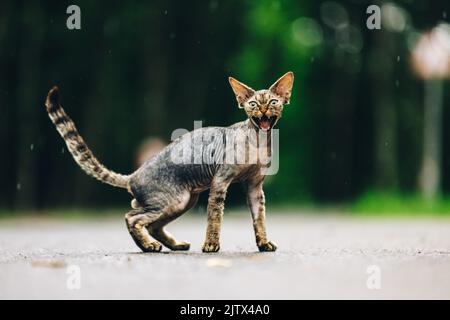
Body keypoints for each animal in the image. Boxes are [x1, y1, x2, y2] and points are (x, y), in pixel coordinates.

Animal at [44, 72, 294, 252]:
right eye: (253, 104)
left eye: (273, 101)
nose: (263, 109)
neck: (258, 142)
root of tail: (133, 175)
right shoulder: (220, 181)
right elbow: (215, 216)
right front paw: (211, 245)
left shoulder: (255, 186)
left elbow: (259, 218)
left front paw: (263, 244)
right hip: (171, 200)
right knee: (132, 217)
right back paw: (149, 246)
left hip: (183, 201)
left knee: (151, 224)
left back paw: (173, 245)